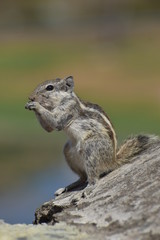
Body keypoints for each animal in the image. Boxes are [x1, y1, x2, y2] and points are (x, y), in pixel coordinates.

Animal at [25, 76, 160, 195]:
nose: (31, 97)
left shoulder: (68, 109)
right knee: (82, 178)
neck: (62, 100)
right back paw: (66, 188)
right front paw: (30, 104)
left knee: (93, 177)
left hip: (91, 148)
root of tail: (113, 161)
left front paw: (36, 105)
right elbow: (49, 128)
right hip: (68, 151)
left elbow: (56, 122)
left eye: (49, 87)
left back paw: (88, 188)